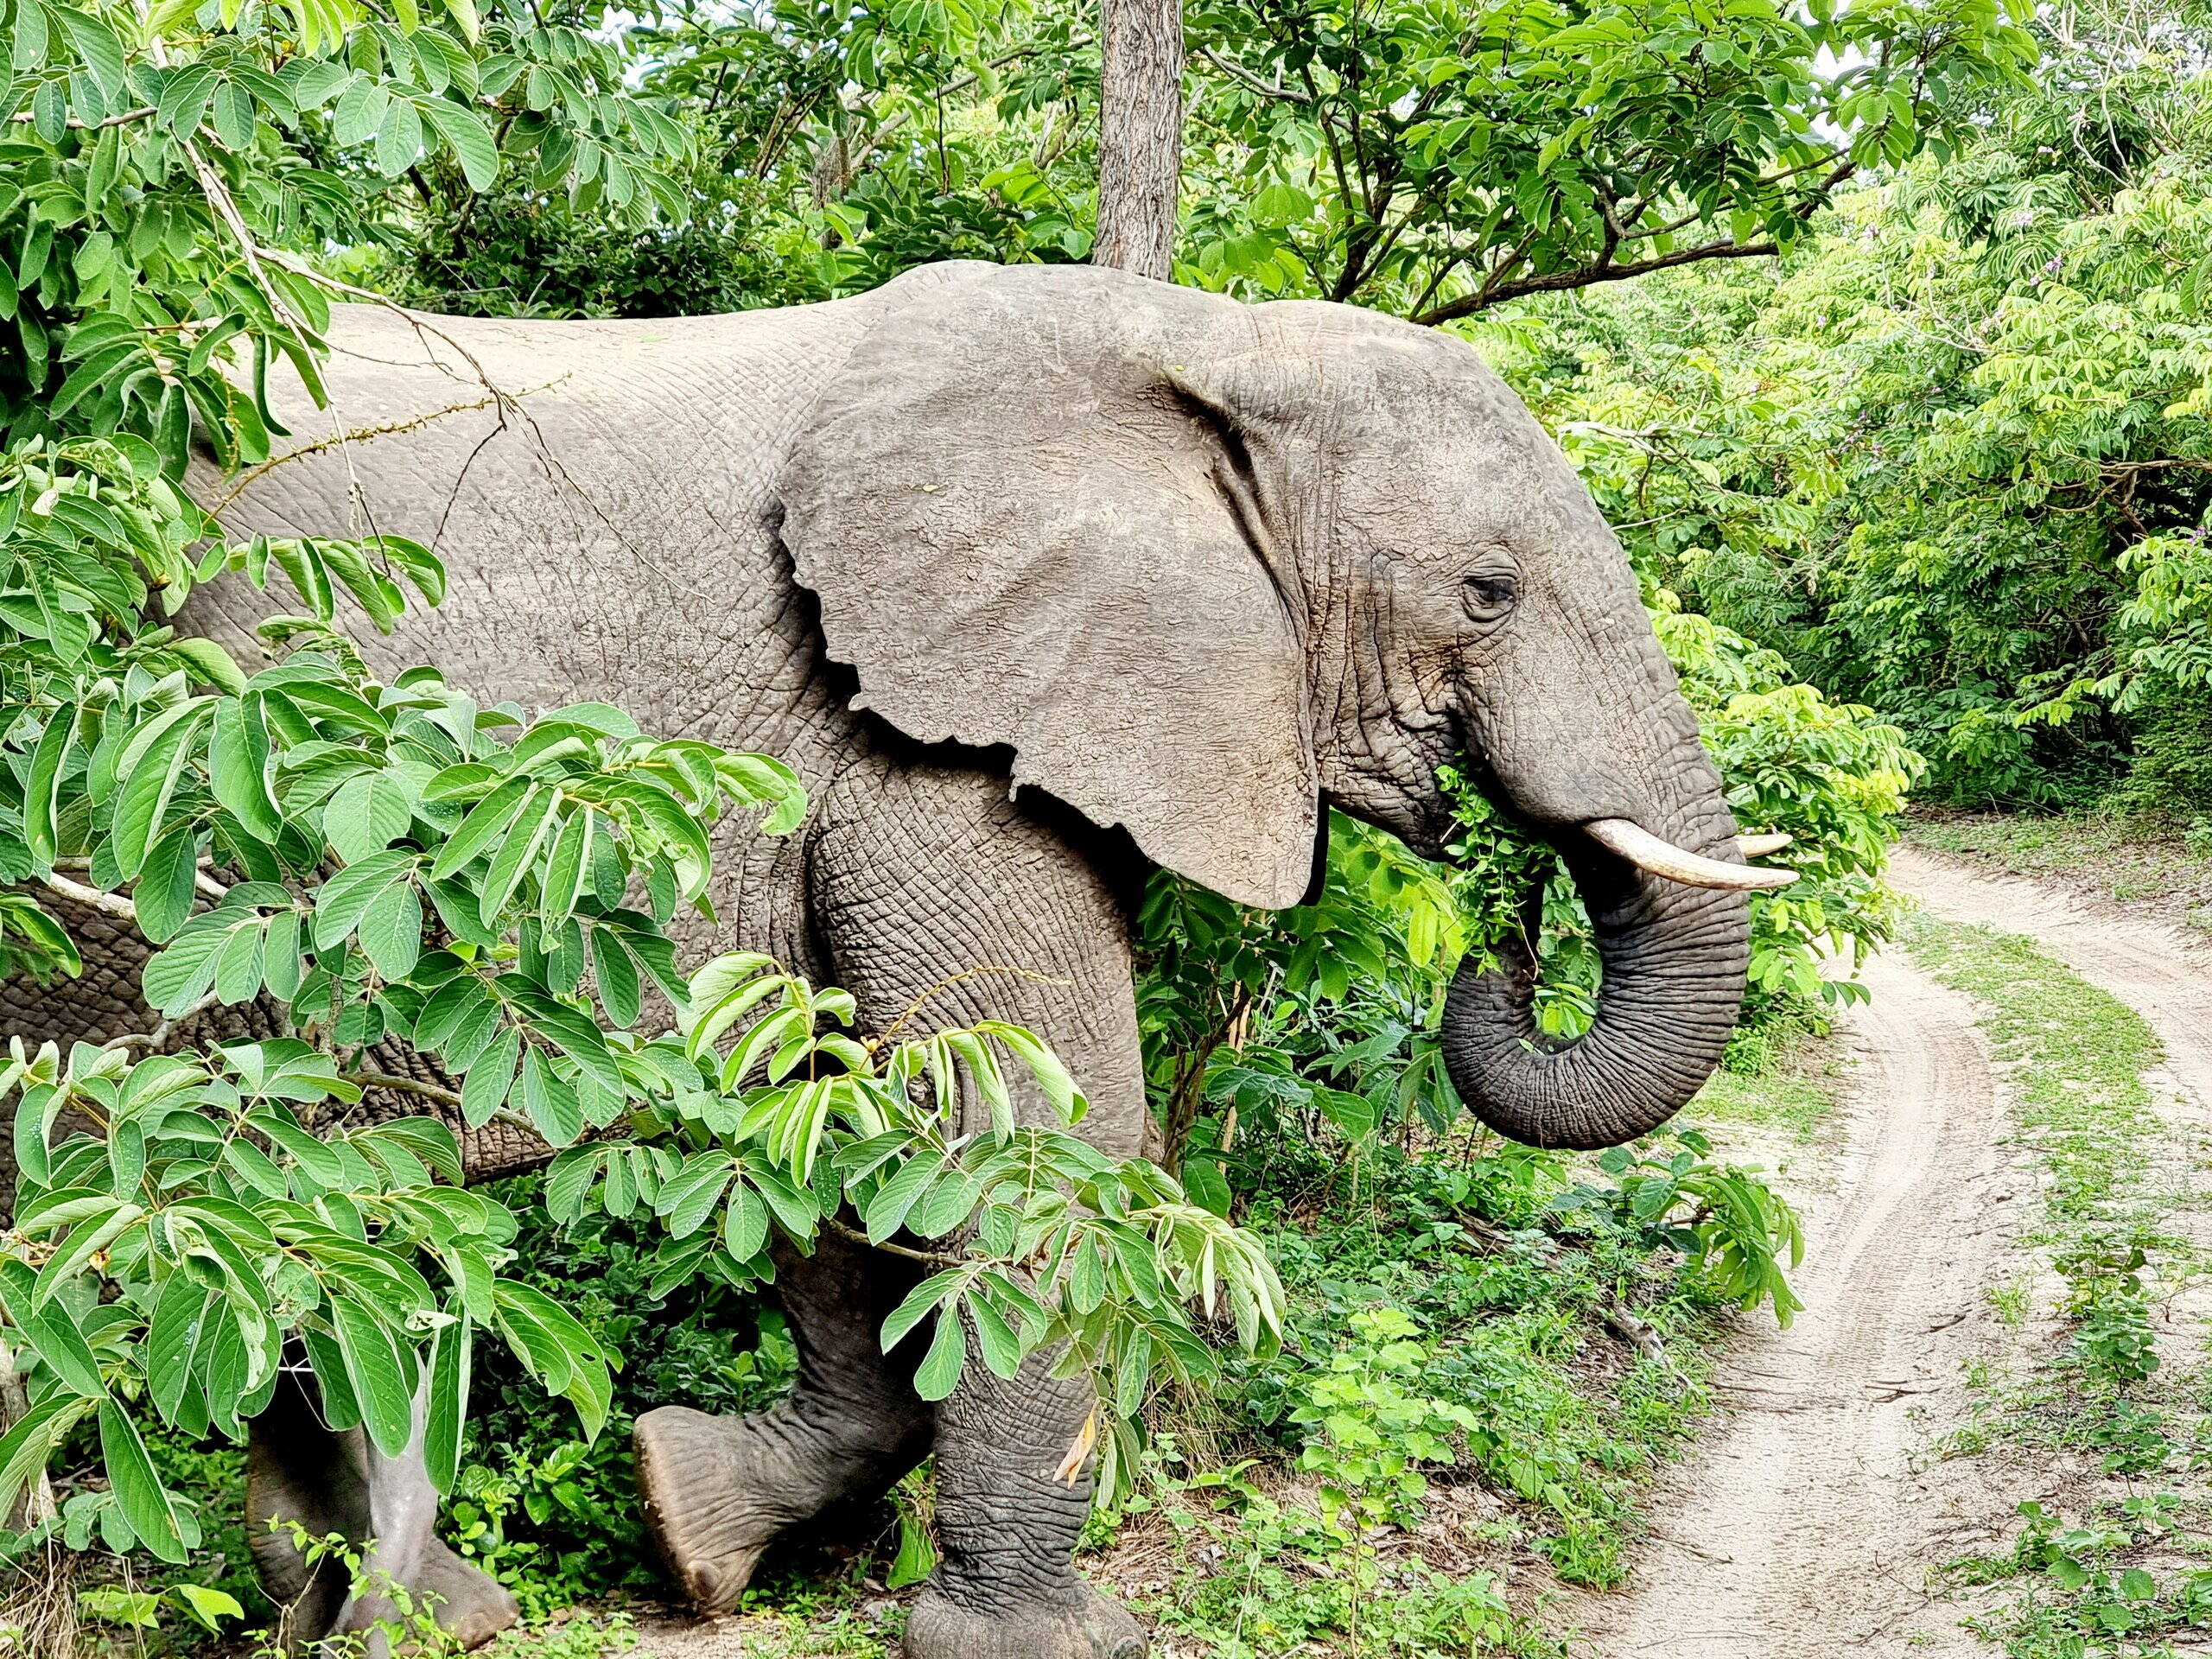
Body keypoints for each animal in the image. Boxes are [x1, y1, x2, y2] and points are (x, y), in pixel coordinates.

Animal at [3, 258, 1785, 1657]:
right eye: (1488, 591)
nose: (1501, 938)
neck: (1206, 344)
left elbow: (825, 1109)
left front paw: (688, 1526)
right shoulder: (917, 726)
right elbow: (1030, 1125)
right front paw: (1049, 1646)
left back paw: (393, 1610)